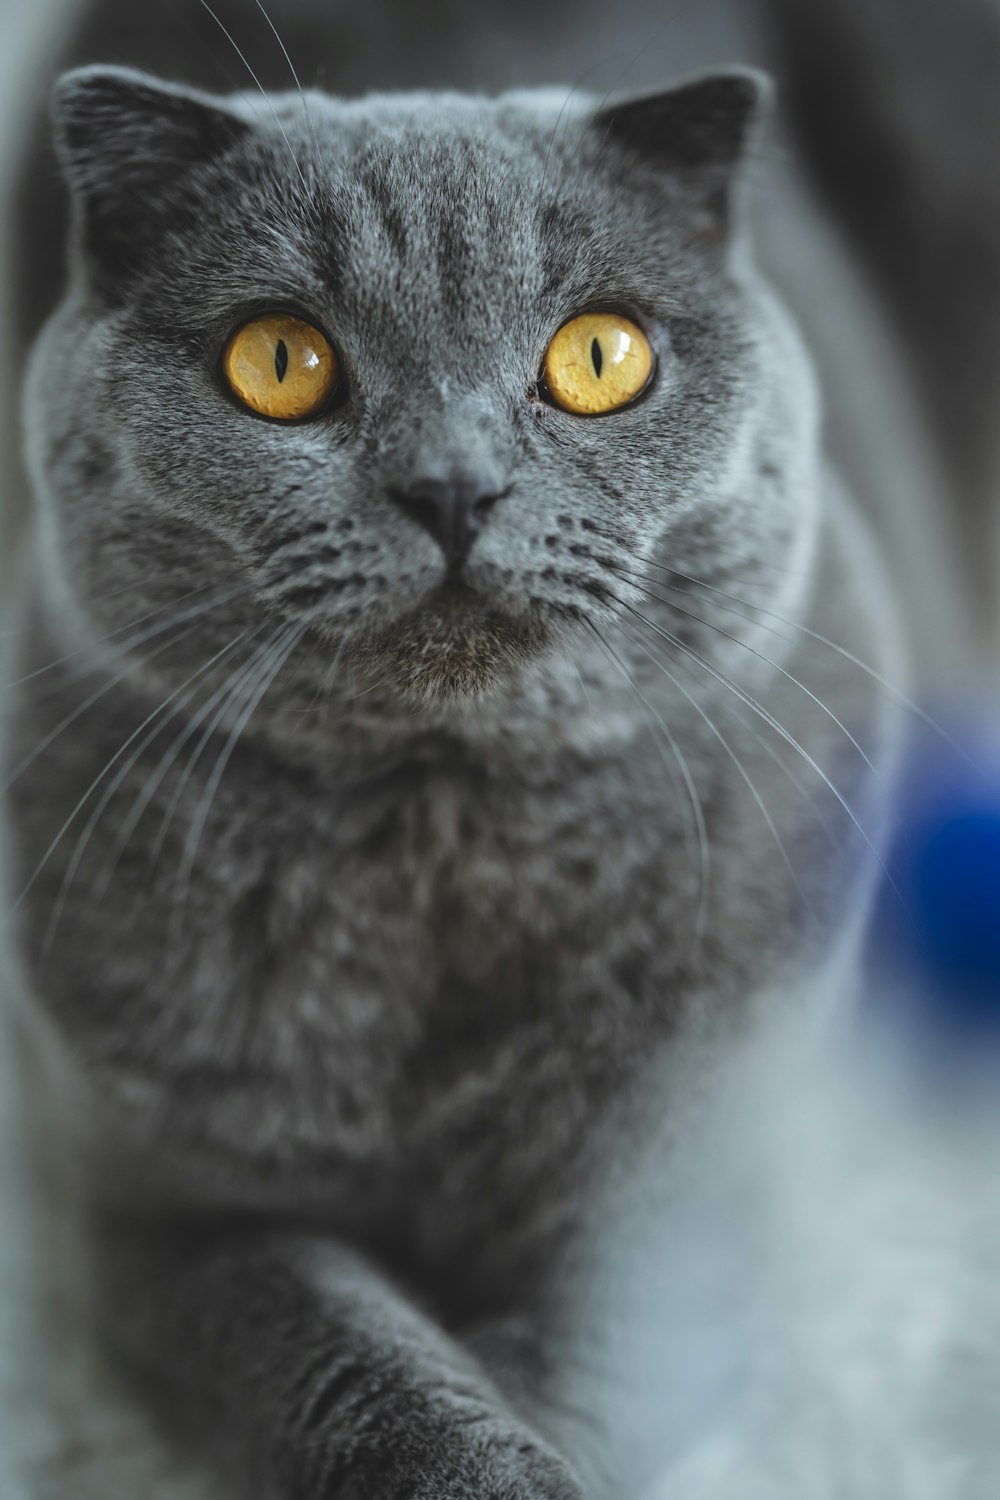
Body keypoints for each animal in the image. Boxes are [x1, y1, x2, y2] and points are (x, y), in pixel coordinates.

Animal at [1, 2, 995, 1500]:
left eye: (600, 356)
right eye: (279, 361)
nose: (453, 487)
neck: (439, 833)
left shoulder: (671, 1202)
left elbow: (576, 1373)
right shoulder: (172, 1221)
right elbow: (358, 1370)